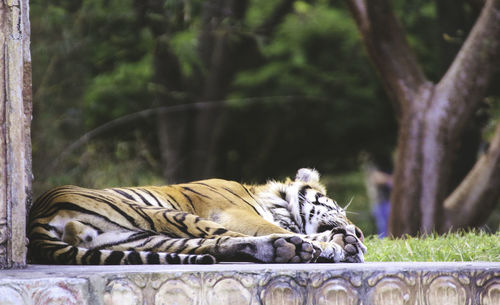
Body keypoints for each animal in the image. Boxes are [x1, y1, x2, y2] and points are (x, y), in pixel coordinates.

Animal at [29, 166, 368, 264]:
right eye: (339, 209)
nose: (361, 231)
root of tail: (36, 220)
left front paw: (348, 242)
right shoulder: (235, 214)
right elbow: (279, 227)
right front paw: (345, 241)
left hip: (139, 237)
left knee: (216, 244)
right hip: (165, 213)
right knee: (232, 238)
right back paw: (322, 247)